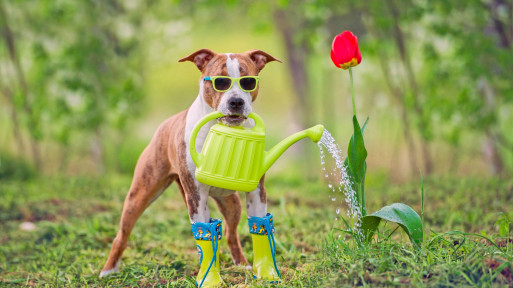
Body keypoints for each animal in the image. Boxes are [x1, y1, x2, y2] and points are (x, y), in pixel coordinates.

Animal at [99, 49, 280, 280]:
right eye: (220, 81)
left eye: (248, 81)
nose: (236, 102)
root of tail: (165, 124)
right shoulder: (196, 195)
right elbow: (204, 232)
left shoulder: (256, 191)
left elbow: (258, 225)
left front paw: (264, 272)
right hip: (139, 195)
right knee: (122, 234)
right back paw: (108, 269)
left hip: (231, 203)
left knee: (230, 232)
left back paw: (242, 264)